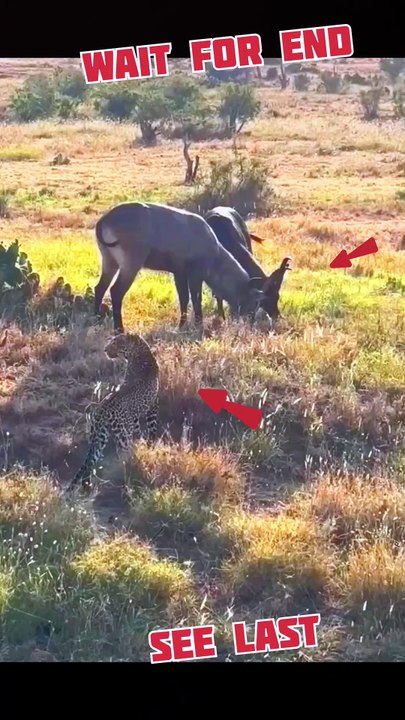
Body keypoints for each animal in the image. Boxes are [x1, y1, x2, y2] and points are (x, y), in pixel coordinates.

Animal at [68, 332, 159, 492]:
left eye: (116, 342)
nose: (105, 349)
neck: (139, 353)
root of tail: (102, 408)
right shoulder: (152, 405)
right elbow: (152, 427)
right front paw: (150, 443)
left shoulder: (135, 416)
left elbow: (138, 429)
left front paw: (141, 441)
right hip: (122, 434)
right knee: (122, 454)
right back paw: (128, 471)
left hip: (99, 435)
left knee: (91, 460)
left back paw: (87, 485)